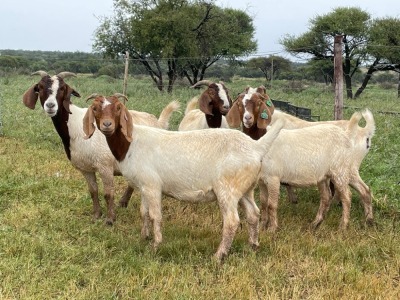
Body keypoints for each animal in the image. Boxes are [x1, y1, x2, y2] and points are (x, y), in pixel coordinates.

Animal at [21, 71, 178, 225]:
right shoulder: (85, 168)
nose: (50, 105)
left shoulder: (105, 165)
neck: (76, 126)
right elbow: (93, 191)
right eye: (40, 87)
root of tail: (156, 122)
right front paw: (96, 215)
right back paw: (123, 202)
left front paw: (110, 219)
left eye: (62, 88)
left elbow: (108, 193)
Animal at [83, 95, 284, 262]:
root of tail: (256, 146)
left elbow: (155, 215)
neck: (131, 143)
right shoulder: (144, 186)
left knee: (232, 221)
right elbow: (144, 213)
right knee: (253, 214)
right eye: (95, 108)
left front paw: (155, 246)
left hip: (227, 189)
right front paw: (143, 237)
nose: (107, 125)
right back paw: (253, 246)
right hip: (245, 189)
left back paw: (219, 256)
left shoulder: (152, 186)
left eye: (118, 108)